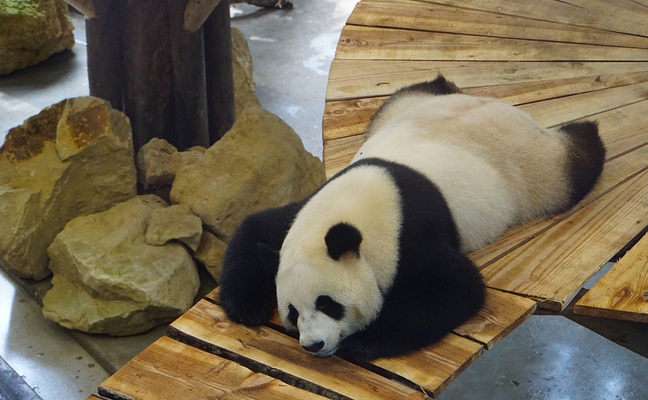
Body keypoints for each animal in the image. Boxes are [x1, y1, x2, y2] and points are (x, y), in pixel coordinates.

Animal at [219, 75, 608, 360]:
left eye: (327, 304)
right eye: (292, 312)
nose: (313, 345)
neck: (358, 201)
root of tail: (505, 106)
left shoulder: (407, 235)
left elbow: (454, 288)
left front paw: (362, 342)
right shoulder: (303, 213)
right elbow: (255, 227)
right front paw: (246, 307)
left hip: (537, 170)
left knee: (576, 162)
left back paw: (589, 133)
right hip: (402, 107)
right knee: (418, 90)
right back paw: (441, 83)